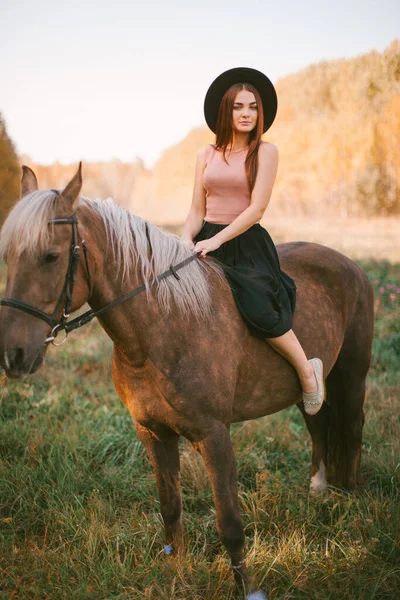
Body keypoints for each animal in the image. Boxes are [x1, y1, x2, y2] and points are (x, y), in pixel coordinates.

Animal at [0, 163, 376, 596]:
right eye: (8, 256)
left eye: (51, 256)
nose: (13, 355)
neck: (161, 327)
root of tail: (350, 264)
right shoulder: (152, 432)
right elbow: (170, 506)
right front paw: (176, 570)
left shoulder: (214, 436)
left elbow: (229, 522)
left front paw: (247, 588)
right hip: (307, 384)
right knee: (318, 421)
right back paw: (318, 489)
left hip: (353, 373)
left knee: (352, 427)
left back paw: (354, 501)